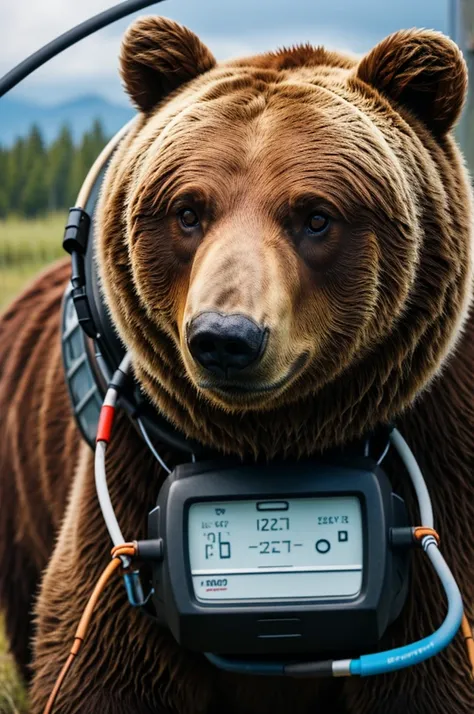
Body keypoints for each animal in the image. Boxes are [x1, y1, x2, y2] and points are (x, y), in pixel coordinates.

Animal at [0, 13, 474, 712]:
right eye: (188, 211)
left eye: (316, 216)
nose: (226, 336)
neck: (272, 444)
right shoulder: (130, 479)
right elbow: (101, 672)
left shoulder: (440, 460)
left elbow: (433, 675)